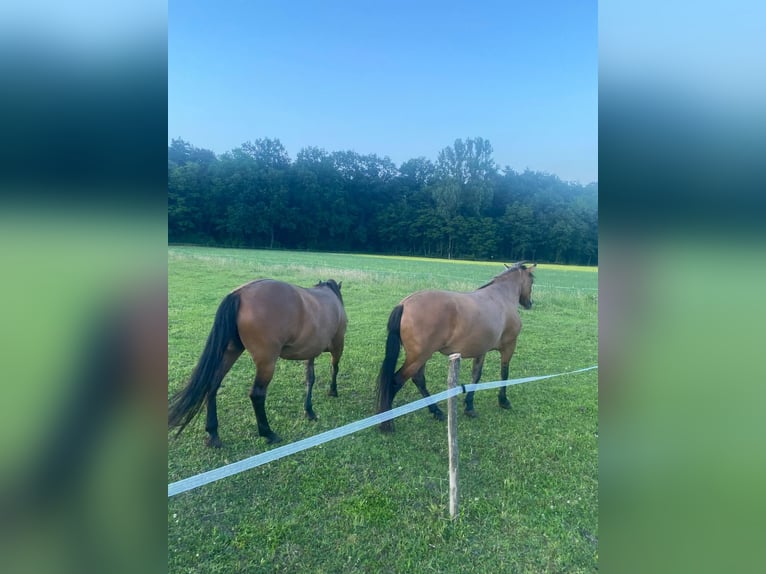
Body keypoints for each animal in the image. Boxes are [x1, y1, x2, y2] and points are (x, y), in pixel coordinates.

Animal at [168, 278, 347, 447]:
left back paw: (213, 433)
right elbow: (334, 368)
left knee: (212, 385)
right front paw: (333, 391)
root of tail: (239, 294)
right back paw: (268, 433)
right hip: (266, 363)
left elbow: (310, 378)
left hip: (230, 352)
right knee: (257, 394)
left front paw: (309, 410)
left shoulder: (310, 351)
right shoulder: (338, 345)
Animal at [376, 262, 536, 431]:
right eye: (532, 281)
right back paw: (388, 422)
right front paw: (503, 400)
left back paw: (436, 411)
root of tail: (404, 304)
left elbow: (476, 376)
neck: (501, 298)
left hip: (421, 357)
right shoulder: (509, 346)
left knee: (418, 379)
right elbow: (504, 374)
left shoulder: (481, 350)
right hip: (418, 358)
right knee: (396, 381)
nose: (530, 303)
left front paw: (469, 406)